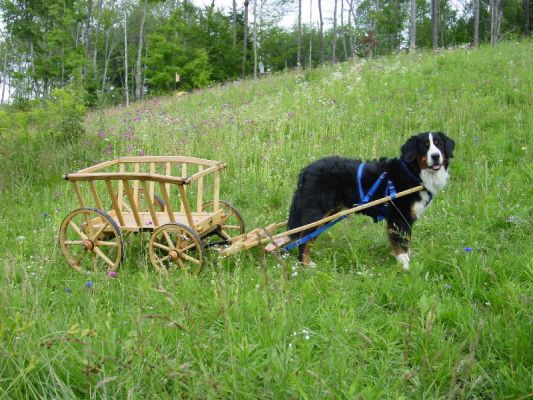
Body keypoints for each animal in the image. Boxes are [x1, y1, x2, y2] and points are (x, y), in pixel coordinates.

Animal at [284, 133, 456, 270]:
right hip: (316, 212)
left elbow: (406, 243)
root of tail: (306, 170)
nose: (435, 156)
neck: (413, 173)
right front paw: (406, 267)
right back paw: (306, 264)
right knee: (303, 239)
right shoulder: (399, 218)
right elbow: (401, 246)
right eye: (425, 146)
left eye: (439, 144)